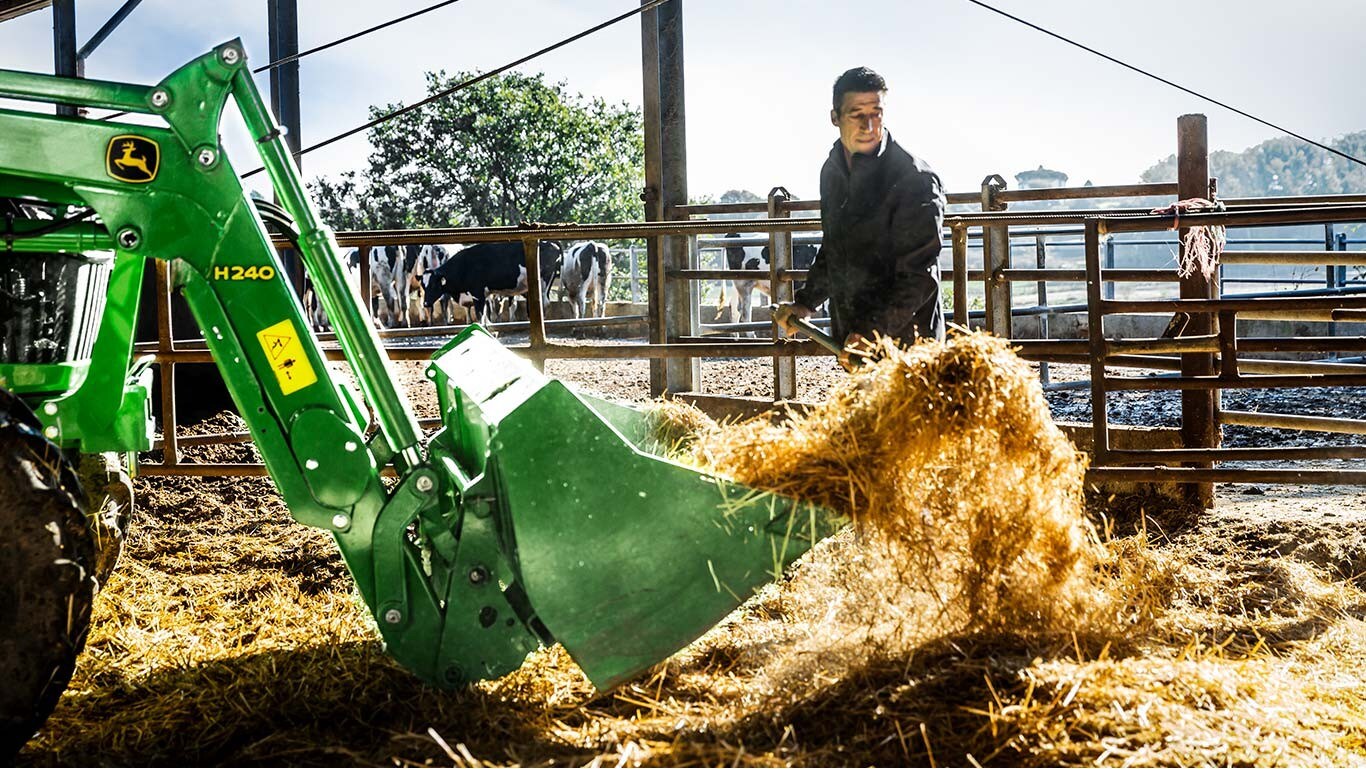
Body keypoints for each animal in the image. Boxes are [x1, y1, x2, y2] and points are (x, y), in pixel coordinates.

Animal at [420, 239, 560, 326]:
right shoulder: (484, 295)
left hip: (543, 283)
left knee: (544, 303)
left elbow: (480, 316)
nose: (426, 303)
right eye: (423, 285)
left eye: (434, 285)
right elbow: (486, 316)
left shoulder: (477, 294)